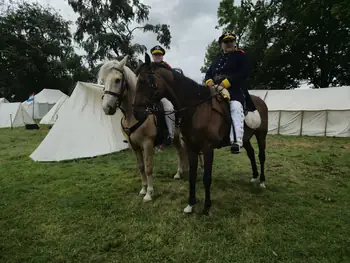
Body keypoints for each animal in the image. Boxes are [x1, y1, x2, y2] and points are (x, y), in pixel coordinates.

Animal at [98, 55, 191, 203]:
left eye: (117, 80)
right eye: (103, 81)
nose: (107, 108)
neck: (134, 115)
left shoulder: (147, 144)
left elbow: (148, 168)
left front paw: (149, 193)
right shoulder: (134, 147)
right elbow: (141, 167)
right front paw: (143, 189)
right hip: (176, 137)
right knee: (180, 152)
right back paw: (178, 173)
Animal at [133, 53, 268, 214]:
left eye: (143, 81)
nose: (137, 113)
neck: (197, 108)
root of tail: (260, 101)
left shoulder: (208, 148)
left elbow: (206, 177)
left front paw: (206, 206)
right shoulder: (191, 148)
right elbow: (192, 176)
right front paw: (190, 204)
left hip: (261, 135)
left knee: (261, 156)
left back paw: (262, 181)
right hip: (245, 139)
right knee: (251, 153)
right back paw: (254, 177)